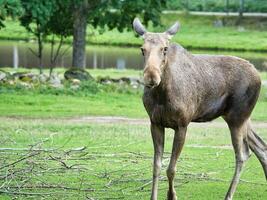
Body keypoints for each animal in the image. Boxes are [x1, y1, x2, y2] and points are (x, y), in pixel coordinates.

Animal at [134, 17, 267, 200]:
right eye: (142, 49)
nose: (151, 77)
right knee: (261, 147)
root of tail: (259, 76)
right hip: (238, 117)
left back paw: (228, 195)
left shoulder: (182, 124)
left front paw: (172, 195)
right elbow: (156, 166)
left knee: (242, 155)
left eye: (165, 48)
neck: (162, 94)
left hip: (237, 117)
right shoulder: (155, 123)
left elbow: (171, 169)